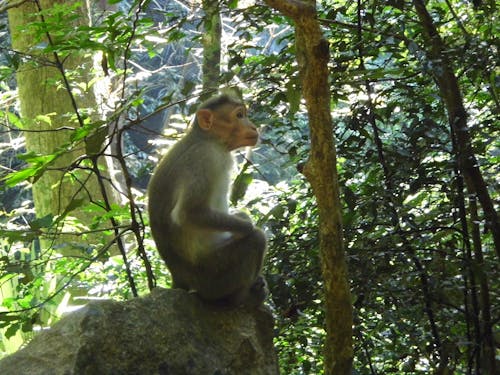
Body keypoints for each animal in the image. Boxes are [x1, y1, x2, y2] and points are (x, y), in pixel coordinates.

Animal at [146, 92, 268, 306]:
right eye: (239, 115)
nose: (253, 127)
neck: (210, 140)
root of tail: (179, 278)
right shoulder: (204, 158)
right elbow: (188, 213)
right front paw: (248, 228)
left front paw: (244, 221)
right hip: (212, 276)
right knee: (256, 240)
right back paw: (240, 298)